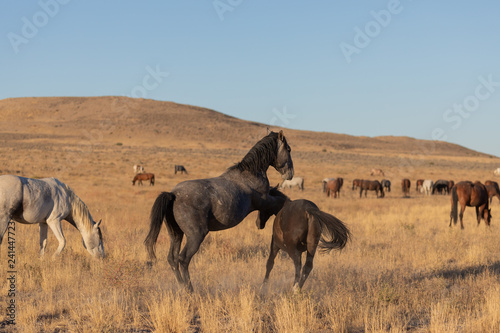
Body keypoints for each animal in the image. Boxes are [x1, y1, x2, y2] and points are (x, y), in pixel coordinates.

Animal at [144, 130, 292, 290]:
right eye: (288, 149)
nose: (289, 174)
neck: (250, 174)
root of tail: (173, 195)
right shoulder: (265, 201)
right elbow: (280, 201)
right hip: (196, 235)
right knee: (183, 259)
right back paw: (190, 289)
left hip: (176, 234)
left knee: (172, 258)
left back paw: (182, 286)